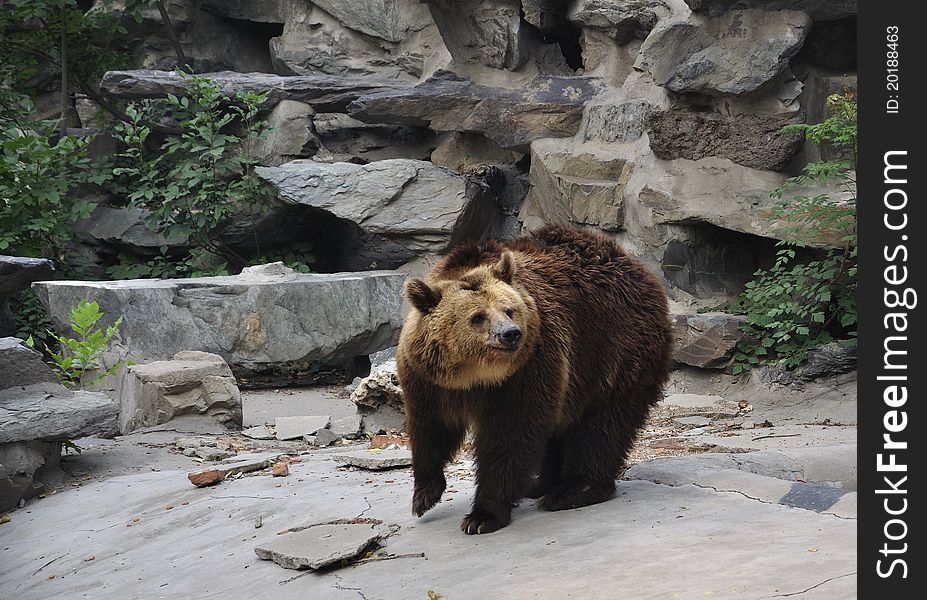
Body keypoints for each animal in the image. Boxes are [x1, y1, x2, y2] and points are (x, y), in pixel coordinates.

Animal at [396, 225, 672, 536]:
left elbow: (510, 434)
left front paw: (483, 515)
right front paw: (423, 496)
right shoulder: (427, 379)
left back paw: (573, 490)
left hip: (614, 349)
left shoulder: (525, 370)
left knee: (602, 423)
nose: (510, 334)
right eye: (477, 317)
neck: (471, 376)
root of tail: (639, 269)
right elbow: (429, 427)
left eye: (509, 309)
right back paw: (541, 484)